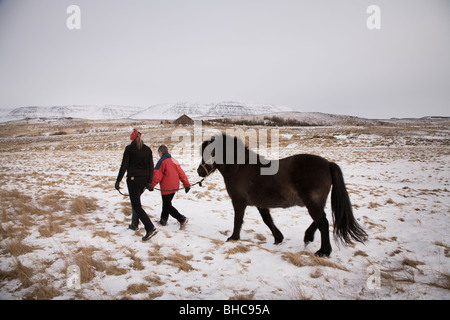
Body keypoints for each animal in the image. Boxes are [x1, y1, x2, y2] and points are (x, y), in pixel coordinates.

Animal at [196, 134, 366, 256]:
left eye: (209, 153)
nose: (199, 171)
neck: (239, 168)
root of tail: (328, 164)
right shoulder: (261, 204)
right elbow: (267, 220)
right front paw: (278, 238)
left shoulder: (239, 202)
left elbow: (238, 220)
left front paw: (233, 237)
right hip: (316, 203)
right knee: (320, 220)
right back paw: (308, 237)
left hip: (312, 203)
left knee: (322, 222)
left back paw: (323, 251)